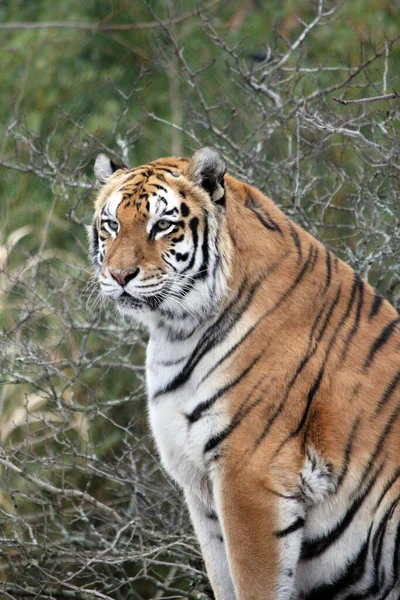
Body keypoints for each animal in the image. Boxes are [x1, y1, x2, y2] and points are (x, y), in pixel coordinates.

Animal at [89, 146, 400, 600]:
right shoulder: (200, 486)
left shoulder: (249, 475)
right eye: (111, 224)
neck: (176, 332)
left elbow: (253, 581)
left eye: (162, 225)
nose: (119, 275)